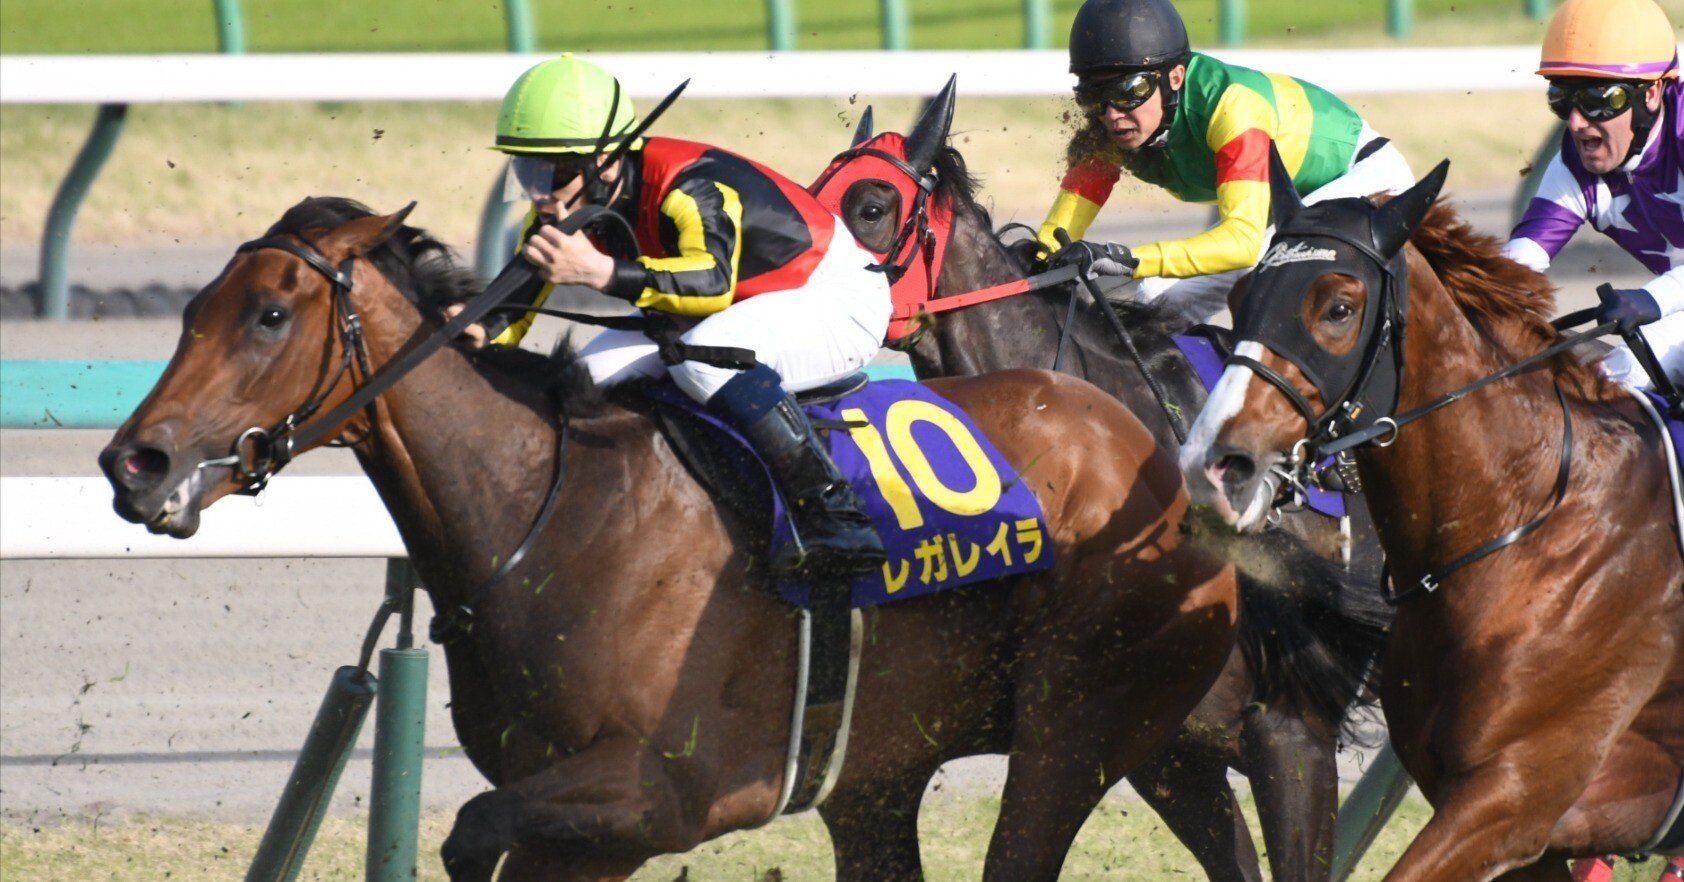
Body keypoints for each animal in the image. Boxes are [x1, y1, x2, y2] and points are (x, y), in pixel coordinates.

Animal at [99, 197, 1245, 881]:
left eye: (270, 316)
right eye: (195, 306)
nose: (134, 464)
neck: (549, 510)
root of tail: (1144, 444)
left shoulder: (664, 793)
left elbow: (473, 832)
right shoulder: (578, 814)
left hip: (1076, 724)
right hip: (917, 766)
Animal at [1178, 156, 1684, 879]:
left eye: (1338, 307)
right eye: (1243, 293)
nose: (1214, 464)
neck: (1524, 532)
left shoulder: (1511, 798)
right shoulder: (1511, 827)